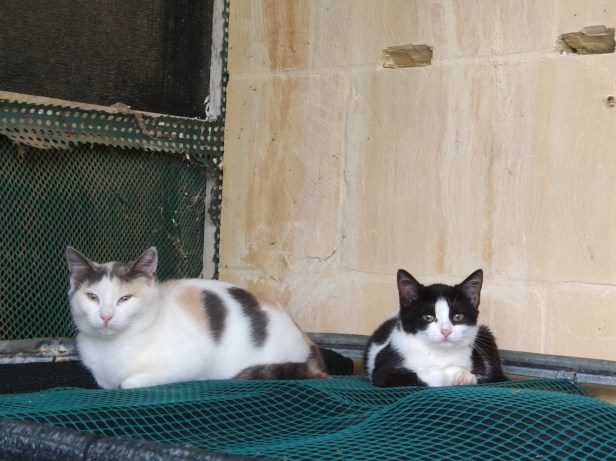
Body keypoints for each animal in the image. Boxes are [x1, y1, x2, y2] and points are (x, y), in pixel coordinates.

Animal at [65, 246, 327, 389]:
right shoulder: (100, 376)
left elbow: (128, 383)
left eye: (125, 299)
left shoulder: (189, 362)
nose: (106, 316)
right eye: (92, 297)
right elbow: (106, 382)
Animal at [364, 269, 506, 387]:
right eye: (428, 317)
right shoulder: (383, 373)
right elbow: (430, 373)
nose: (446, 331)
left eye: (458, 317)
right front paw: (458, 374)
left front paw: (466, 376)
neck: (439, 354)